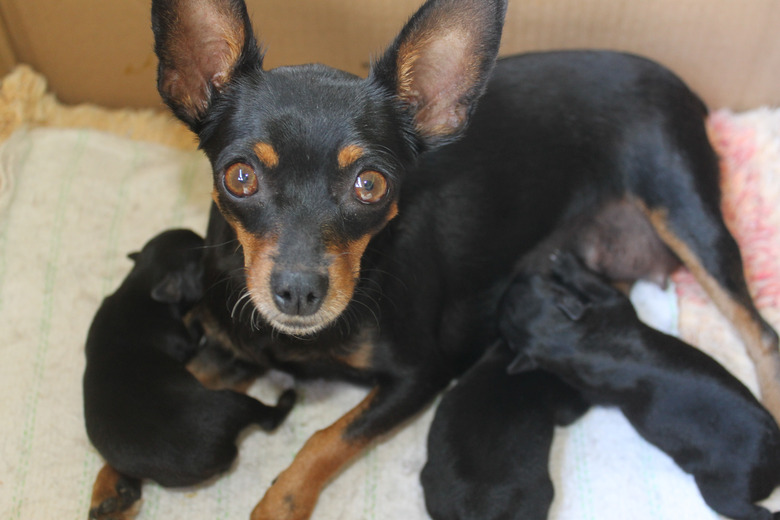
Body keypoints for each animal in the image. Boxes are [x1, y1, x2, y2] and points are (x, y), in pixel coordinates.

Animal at [82, 231, 296, 520]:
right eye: (202, 255)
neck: (141, 283)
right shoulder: (184, 339)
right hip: (232, 402)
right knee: (267, 418)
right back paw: (287, 397)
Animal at [502, 252, 780, 520]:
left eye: (535, 283)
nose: (510, 284)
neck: (565, 340)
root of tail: (772, 455)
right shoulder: (613, 307)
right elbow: (597, 285)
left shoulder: (612, 306)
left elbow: (596, 284)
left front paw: (566, 263)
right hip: (721, 491)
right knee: (748, 511)